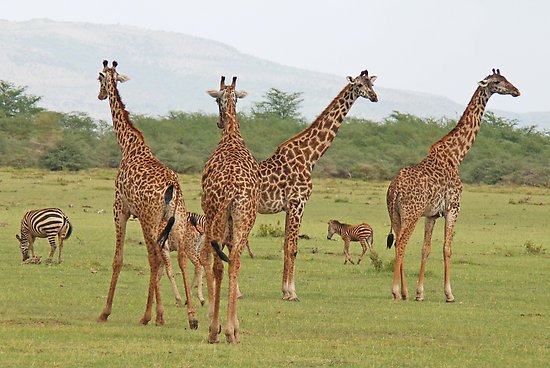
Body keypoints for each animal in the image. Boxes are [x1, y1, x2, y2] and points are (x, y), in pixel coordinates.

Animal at [97, 60, 201, 328]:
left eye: (99, 79)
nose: (100, 95)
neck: (128, 145)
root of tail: (172, 185)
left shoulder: (120, 208)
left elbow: (118, 259)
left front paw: (105, 312)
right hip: (177, 218)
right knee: (180, 257)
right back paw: (192, 317)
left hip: (149, 217)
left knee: (155, 257)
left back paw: (151, 315)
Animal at [258, 70, 380, 300]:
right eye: (359, 85)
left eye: (372, 84)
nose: (375, 97)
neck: (310, 156)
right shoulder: (298, 203)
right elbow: (293, 248)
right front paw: (292, 293)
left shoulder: (290, 206)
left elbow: (286, 246)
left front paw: (285, 291)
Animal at [388, 69, 520, 302]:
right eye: (497, 82)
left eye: (506, 79)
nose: (516, 91)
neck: (456, 156)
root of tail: (394, 189)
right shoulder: (453, 208)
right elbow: (447, 248)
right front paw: (449, 293)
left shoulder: (432, 214)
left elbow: (426, 248)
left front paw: (419, 293)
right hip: (411, 213)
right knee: (401, 244)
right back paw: (395, 291)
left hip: (396, 214)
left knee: (398, 244)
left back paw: (403, 292)